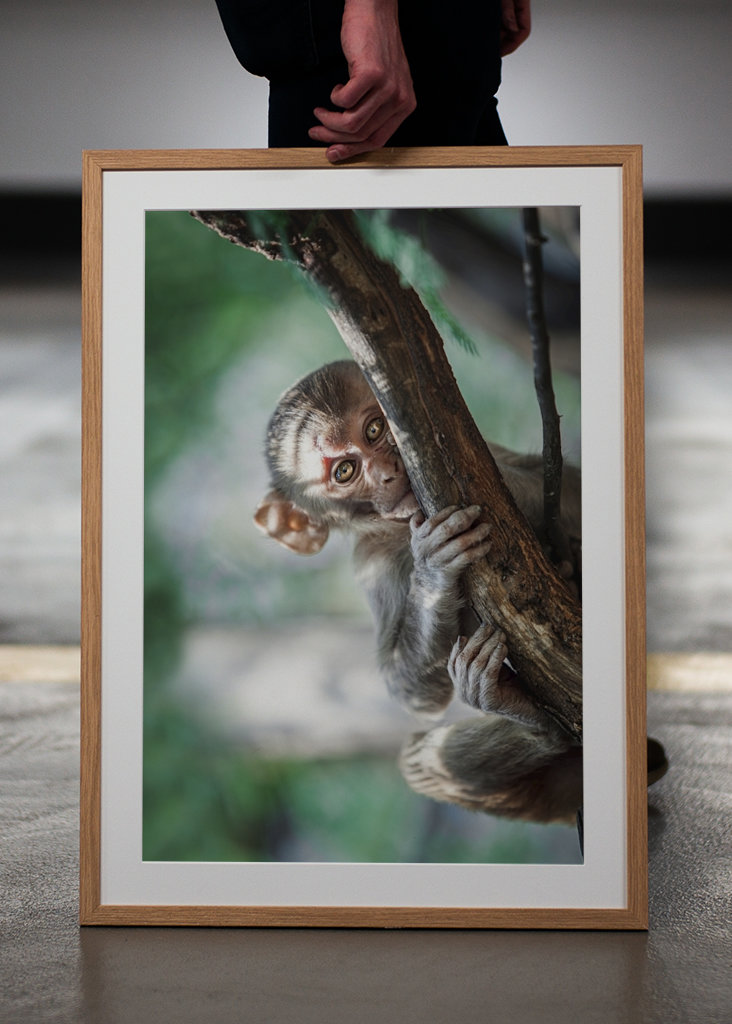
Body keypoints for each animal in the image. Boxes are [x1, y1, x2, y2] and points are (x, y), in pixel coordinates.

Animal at [254, 359, 584, 825]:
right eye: (344, 471)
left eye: (375, 430)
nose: (389, 472)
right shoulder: (372, 566)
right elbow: (413, 693)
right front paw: (433, 571)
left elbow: (569, 485)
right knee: (419, 762)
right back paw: (530, 720)